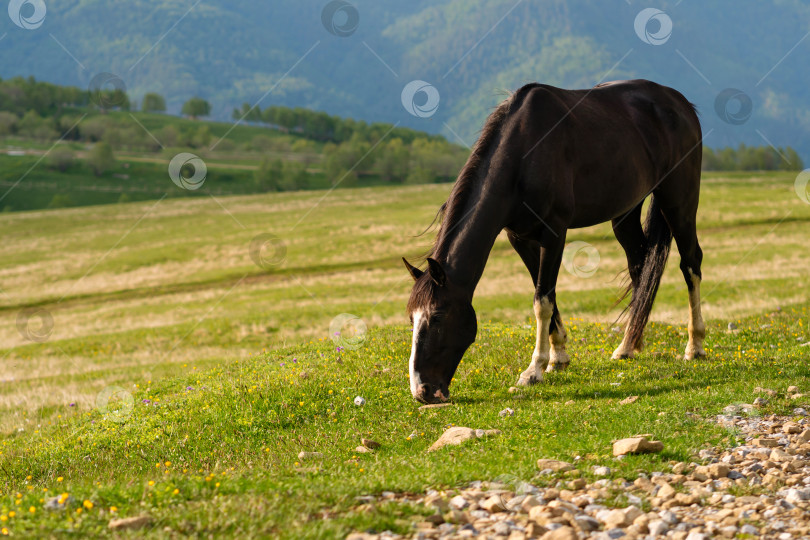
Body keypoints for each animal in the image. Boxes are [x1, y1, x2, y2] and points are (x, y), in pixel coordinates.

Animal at [400, 78, 704, 402]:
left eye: (438, 316)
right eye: (412, 320)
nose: (422, 390)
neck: (522, 156)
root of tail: (680, 103)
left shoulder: (554, 233)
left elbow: (542, 300)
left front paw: (534, 370)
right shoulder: (519, 238)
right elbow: (544, 292)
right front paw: (558, 357)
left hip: (678, 201)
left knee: (690, 264)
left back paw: (694, 346)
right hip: (625, 213)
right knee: (640, 270)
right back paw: (628, 346)